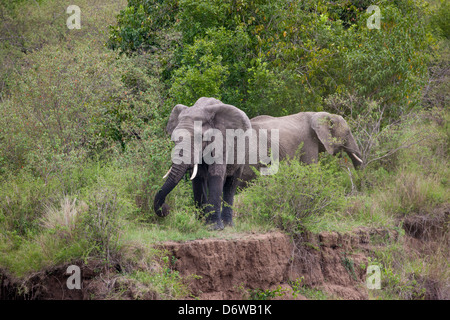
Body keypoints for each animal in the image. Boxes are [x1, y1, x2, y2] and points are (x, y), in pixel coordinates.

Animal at [153, 97, 251, 230]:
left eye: (200, 138)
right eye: (174, 139)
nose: (166, 208)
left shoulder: (221, 143)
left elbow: (215, 174)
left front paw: (214, 228)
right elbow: (198, 178)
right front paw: (200, 223)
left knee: (232, 183)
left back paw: (228, 225)